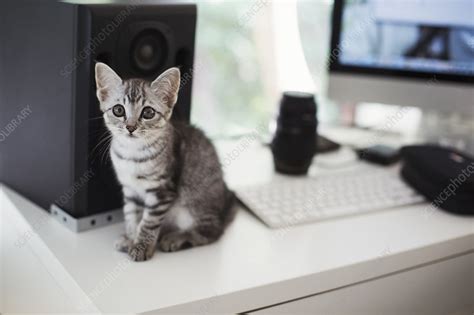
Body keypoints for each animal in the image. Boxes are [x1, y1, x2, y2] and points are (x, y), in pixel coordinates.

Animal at [96, 63, 235, 262]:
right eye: (118, 110)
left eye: (148, 112)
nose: (130, 127)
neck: (132, 154)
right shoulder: (130, 189)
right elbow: (132, 216)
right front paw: (131, 238)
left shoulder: (162, 190)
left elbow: (148, 222)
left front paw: (141, 246)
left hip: (196, 204)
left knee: (211, 231)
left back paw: (176, 238)